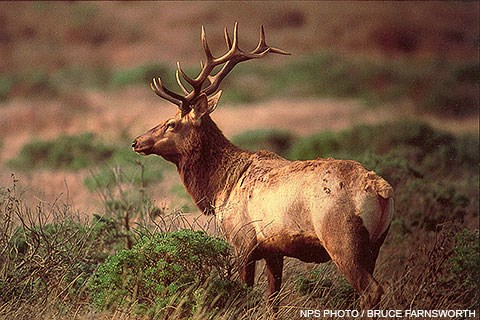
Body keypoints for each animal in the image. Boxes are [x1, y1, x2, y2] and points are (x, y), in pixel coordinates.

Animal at [132, 23, 394, 312]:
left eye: (171, 123)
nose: (137, 141)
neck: (220, 188)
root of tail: (382, 190)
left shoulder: (242, 240)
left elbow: (244, 291)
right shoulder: (273, 249)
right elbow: (272, 300)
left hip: (342, 240)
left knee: (370, 290)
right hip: (376, 244)